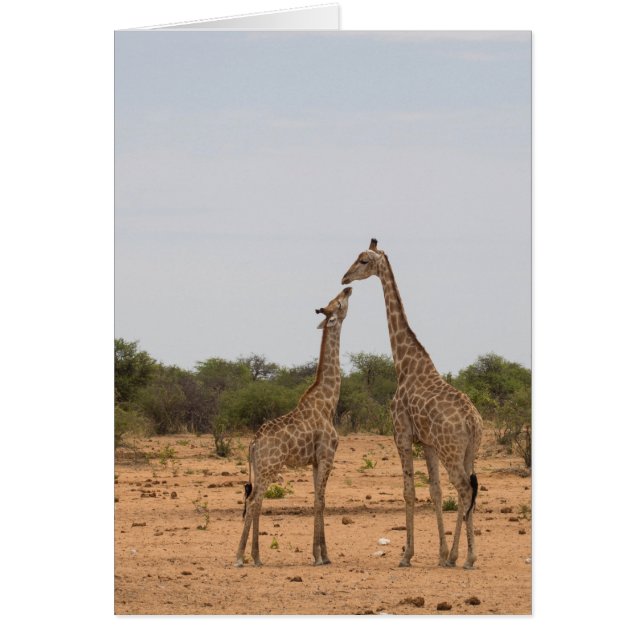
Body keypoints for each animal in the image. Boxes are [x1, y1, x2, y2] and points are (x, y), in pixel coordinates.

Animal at [235, 287, 352, 567]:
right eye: (338, 302)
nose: (348, 288)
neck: (328, 402)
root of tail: (253, 443)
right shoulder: (327, 454)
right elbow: (320, 501)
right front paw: (319, 557)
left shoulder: (315, 460)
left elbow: (319, 499)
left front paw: (324, 554)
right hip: (269, 467)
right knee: (253, 501)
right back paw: (242, 557)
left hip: (261, 469)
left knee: (255, 501)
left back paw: (256, 557)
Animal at [341, 239, 482, 569]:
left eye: (363, 260)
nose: (345, 278)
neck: (403, 365)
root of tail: (472, 421)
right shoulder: (427, 443)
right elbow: (434, 491)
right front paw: (440, 553)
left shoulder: (401, 435)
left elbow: (408, 491)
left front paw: (407, 555)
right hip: (470, 450)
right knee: (468, 489)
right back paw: (460, 556)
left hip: (451, 450)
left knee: (464, 489)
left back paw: (465, 557)